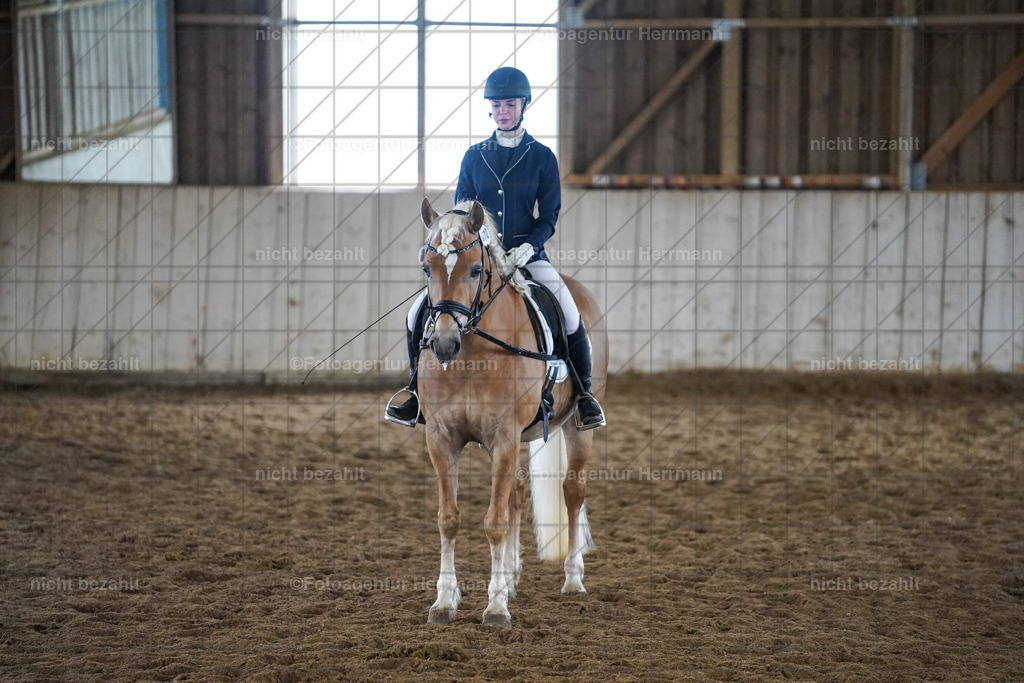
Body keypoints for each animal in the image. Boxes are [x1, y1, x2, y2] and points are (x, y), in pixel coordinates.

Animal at [412, 197, 607, 626]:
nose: (445, 345)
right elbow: (448, 519)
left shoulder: (503, 437)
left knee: (572, 491)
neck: (472, 354)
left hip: (577, 429)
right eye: (426, 268)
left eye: (475, 269)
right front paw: (444, 602)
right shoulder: (440, 438)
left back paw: (572, 579)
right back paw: (512, 576)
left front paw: (496, 606)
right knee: (517, 493)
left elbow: (495, 522)